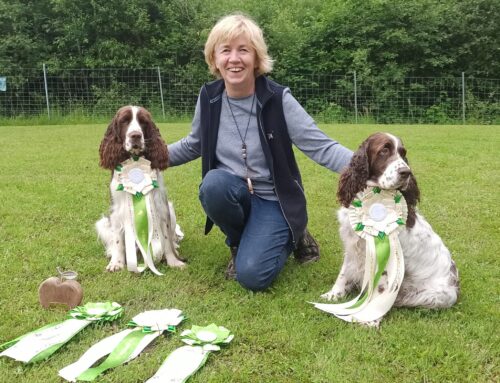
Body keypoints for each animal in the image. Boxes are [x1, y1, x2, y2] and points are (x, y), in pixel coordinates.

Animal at [95, 106, 186, 272]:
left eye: (143, 121)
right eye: (124, 120)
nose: (135, 135)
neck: (135, 160)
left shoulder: (161, 207)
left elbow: (166, 240)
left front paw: (173, 261)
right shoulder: (117, 211)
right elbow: (117, 240)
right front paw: (116, 263)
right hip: (104, 223)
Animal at [322, 132, 458, 318]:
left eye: (403, 153)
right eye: (384, 150)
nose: (406, 172)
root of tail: (455, 285)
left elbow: (379, 285)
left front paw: (369, 315)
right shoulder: (352, 245)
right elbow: (344, 272)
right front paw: (334, 294)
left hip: (436, 296)